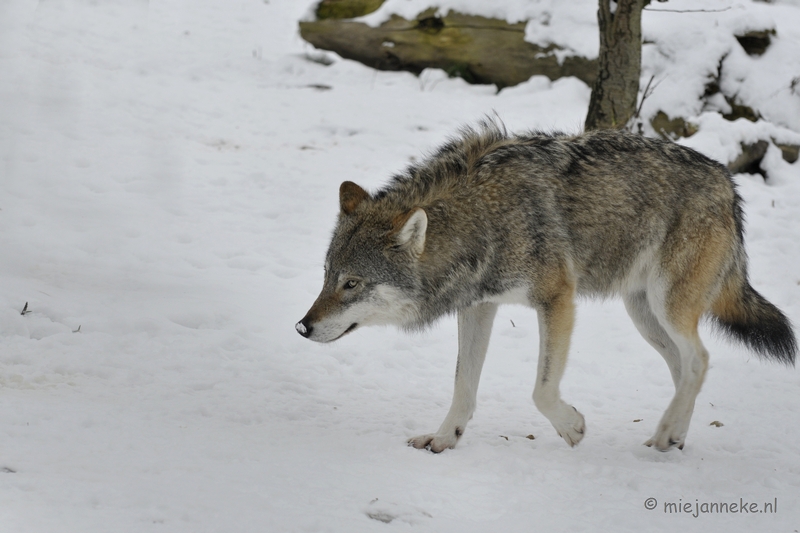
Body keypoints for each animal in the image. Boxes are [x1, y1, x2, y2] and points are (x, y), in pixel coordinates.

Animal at [294, 121, 792, 454]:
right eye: (326, 276)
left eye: (352, 283)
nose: (302, 327)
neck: (482, 219)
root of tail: (728, 182)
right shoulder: (478, 307)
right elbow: (462, 385)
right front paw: (444, 438)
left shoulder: (557, 299)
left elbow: (541, 390)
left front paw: (572, 428)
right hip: (644, 314)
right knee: (685, 367)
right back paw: (673, 436)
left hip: (666, 304)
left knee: (699, 359)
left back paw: (667, 432)